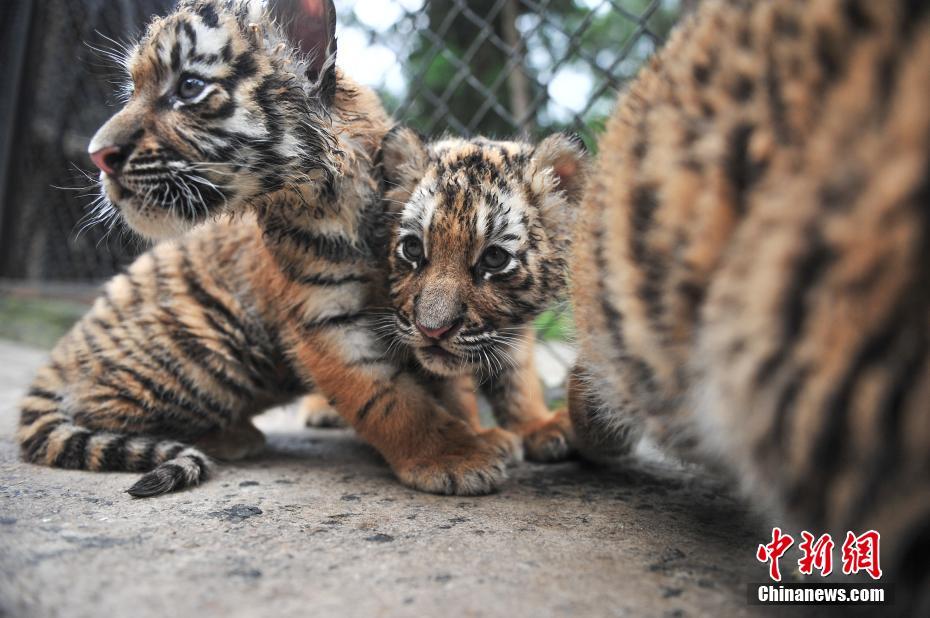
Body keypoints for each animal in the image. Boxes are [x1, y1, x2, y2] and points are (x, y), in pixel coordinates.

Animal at [17, 0, 523, 497]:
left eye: (190, 87)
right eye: (133, 88)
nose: (97, 156)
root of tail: (59, 357)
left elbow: (451, 383)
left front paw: (484, 435)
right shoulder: (324, 320)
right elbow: (389, 400)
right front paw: (456, 458)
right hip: (208, 346)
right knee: (97, 409)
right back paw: (236, 437)